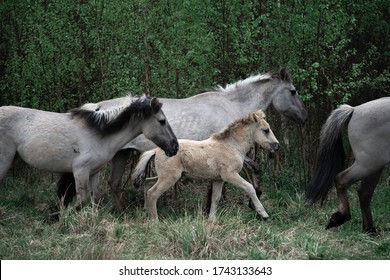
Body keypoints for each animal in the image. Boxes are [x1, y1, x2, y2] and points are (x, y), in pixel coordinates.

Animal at [0, 96, 178, 212]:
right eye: (162, 121)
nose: (175, 146)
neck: (99, 134)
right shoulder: (80, 171)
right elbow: (81, 201)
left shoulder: (94, 172)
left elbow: (95, 199)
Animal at [133, 110, 278, 222]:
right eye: (266, 130)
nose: (277, 145)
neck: (231, 146)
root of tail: (156, 150)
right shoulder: (230, 175)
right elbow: (249, 187)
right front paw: (264, 214)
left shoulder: (219, 179)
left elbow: (215, 198)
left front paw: (212, 219)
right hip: (169, 177)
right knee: (152, 193)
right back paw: (155, 221)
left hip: (165, 176)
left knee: (147, 183)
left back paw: (146, 211)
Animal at [306, 97, 388, 233]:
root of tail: (354, 109)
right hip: (368, 164)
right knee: (342, 180)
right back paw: (340, 218)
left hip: (375, 165)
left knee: (364, 193)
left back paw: (369, 230)